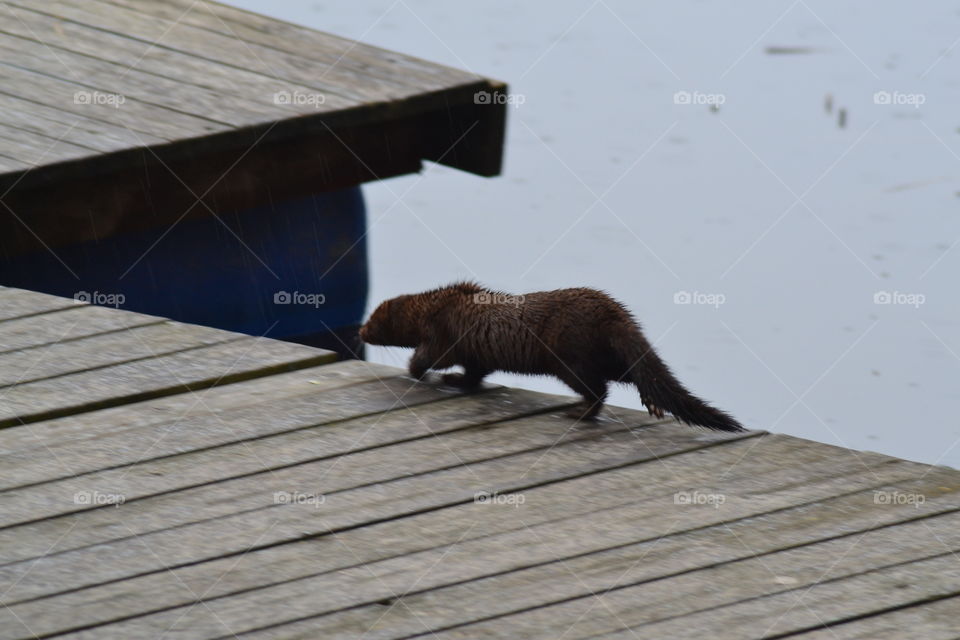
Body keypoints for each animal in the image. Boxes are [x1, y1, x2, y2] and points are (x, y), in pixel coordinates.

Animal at [359, 282, 744, 432]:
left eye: (372, 320)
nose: (359, 331)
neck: (438, 302)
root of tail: (615, 313)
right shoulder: (476, 353)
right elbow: (475, 371)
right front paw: (456, 380)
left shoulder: (441, 333)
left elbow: (432, 355)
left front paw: (420, 371)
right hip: (608, 354)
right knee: (634, 374)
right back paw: (651, 403)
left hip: (570, 358)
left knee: (599, 389)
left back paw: (580, 412)